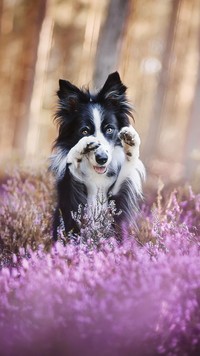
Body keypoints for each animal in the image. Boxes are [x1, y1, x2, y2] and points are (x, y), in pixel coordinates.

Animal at [50, 71, 145, 241]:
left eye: (109, 129)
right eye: (84, 131)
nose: (102, 159)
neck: (97, 174)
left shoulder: (117, 199)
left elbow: (126, 169)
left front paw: (131, 142)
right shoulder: (70, 201)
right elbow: (71, 169)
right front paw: (82, 146)